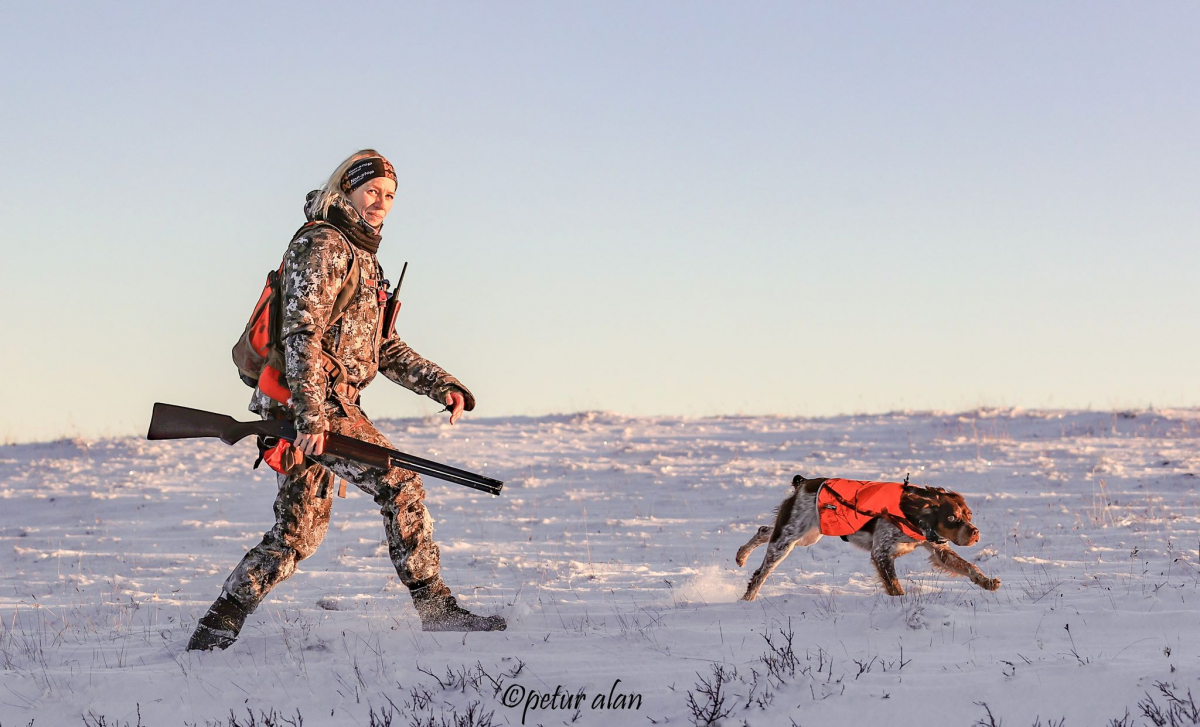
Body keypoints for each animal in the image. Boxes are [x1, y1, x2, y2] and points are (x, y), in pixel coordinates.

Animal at [734, 475, 998, 602]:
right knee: (759, 574)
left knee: (764, 530)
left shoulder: (937, 548)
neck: (912, 511)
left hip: (808, 535)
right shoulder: (881, 553)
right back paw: (746, 600)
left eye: (969, 515)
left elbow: (968, 566)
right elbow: (895, 588)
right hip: (788, 539)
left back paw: (740, 555)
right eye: (952, 518)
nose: (975, 532)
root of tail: (803, 483)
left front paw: (987, 582)